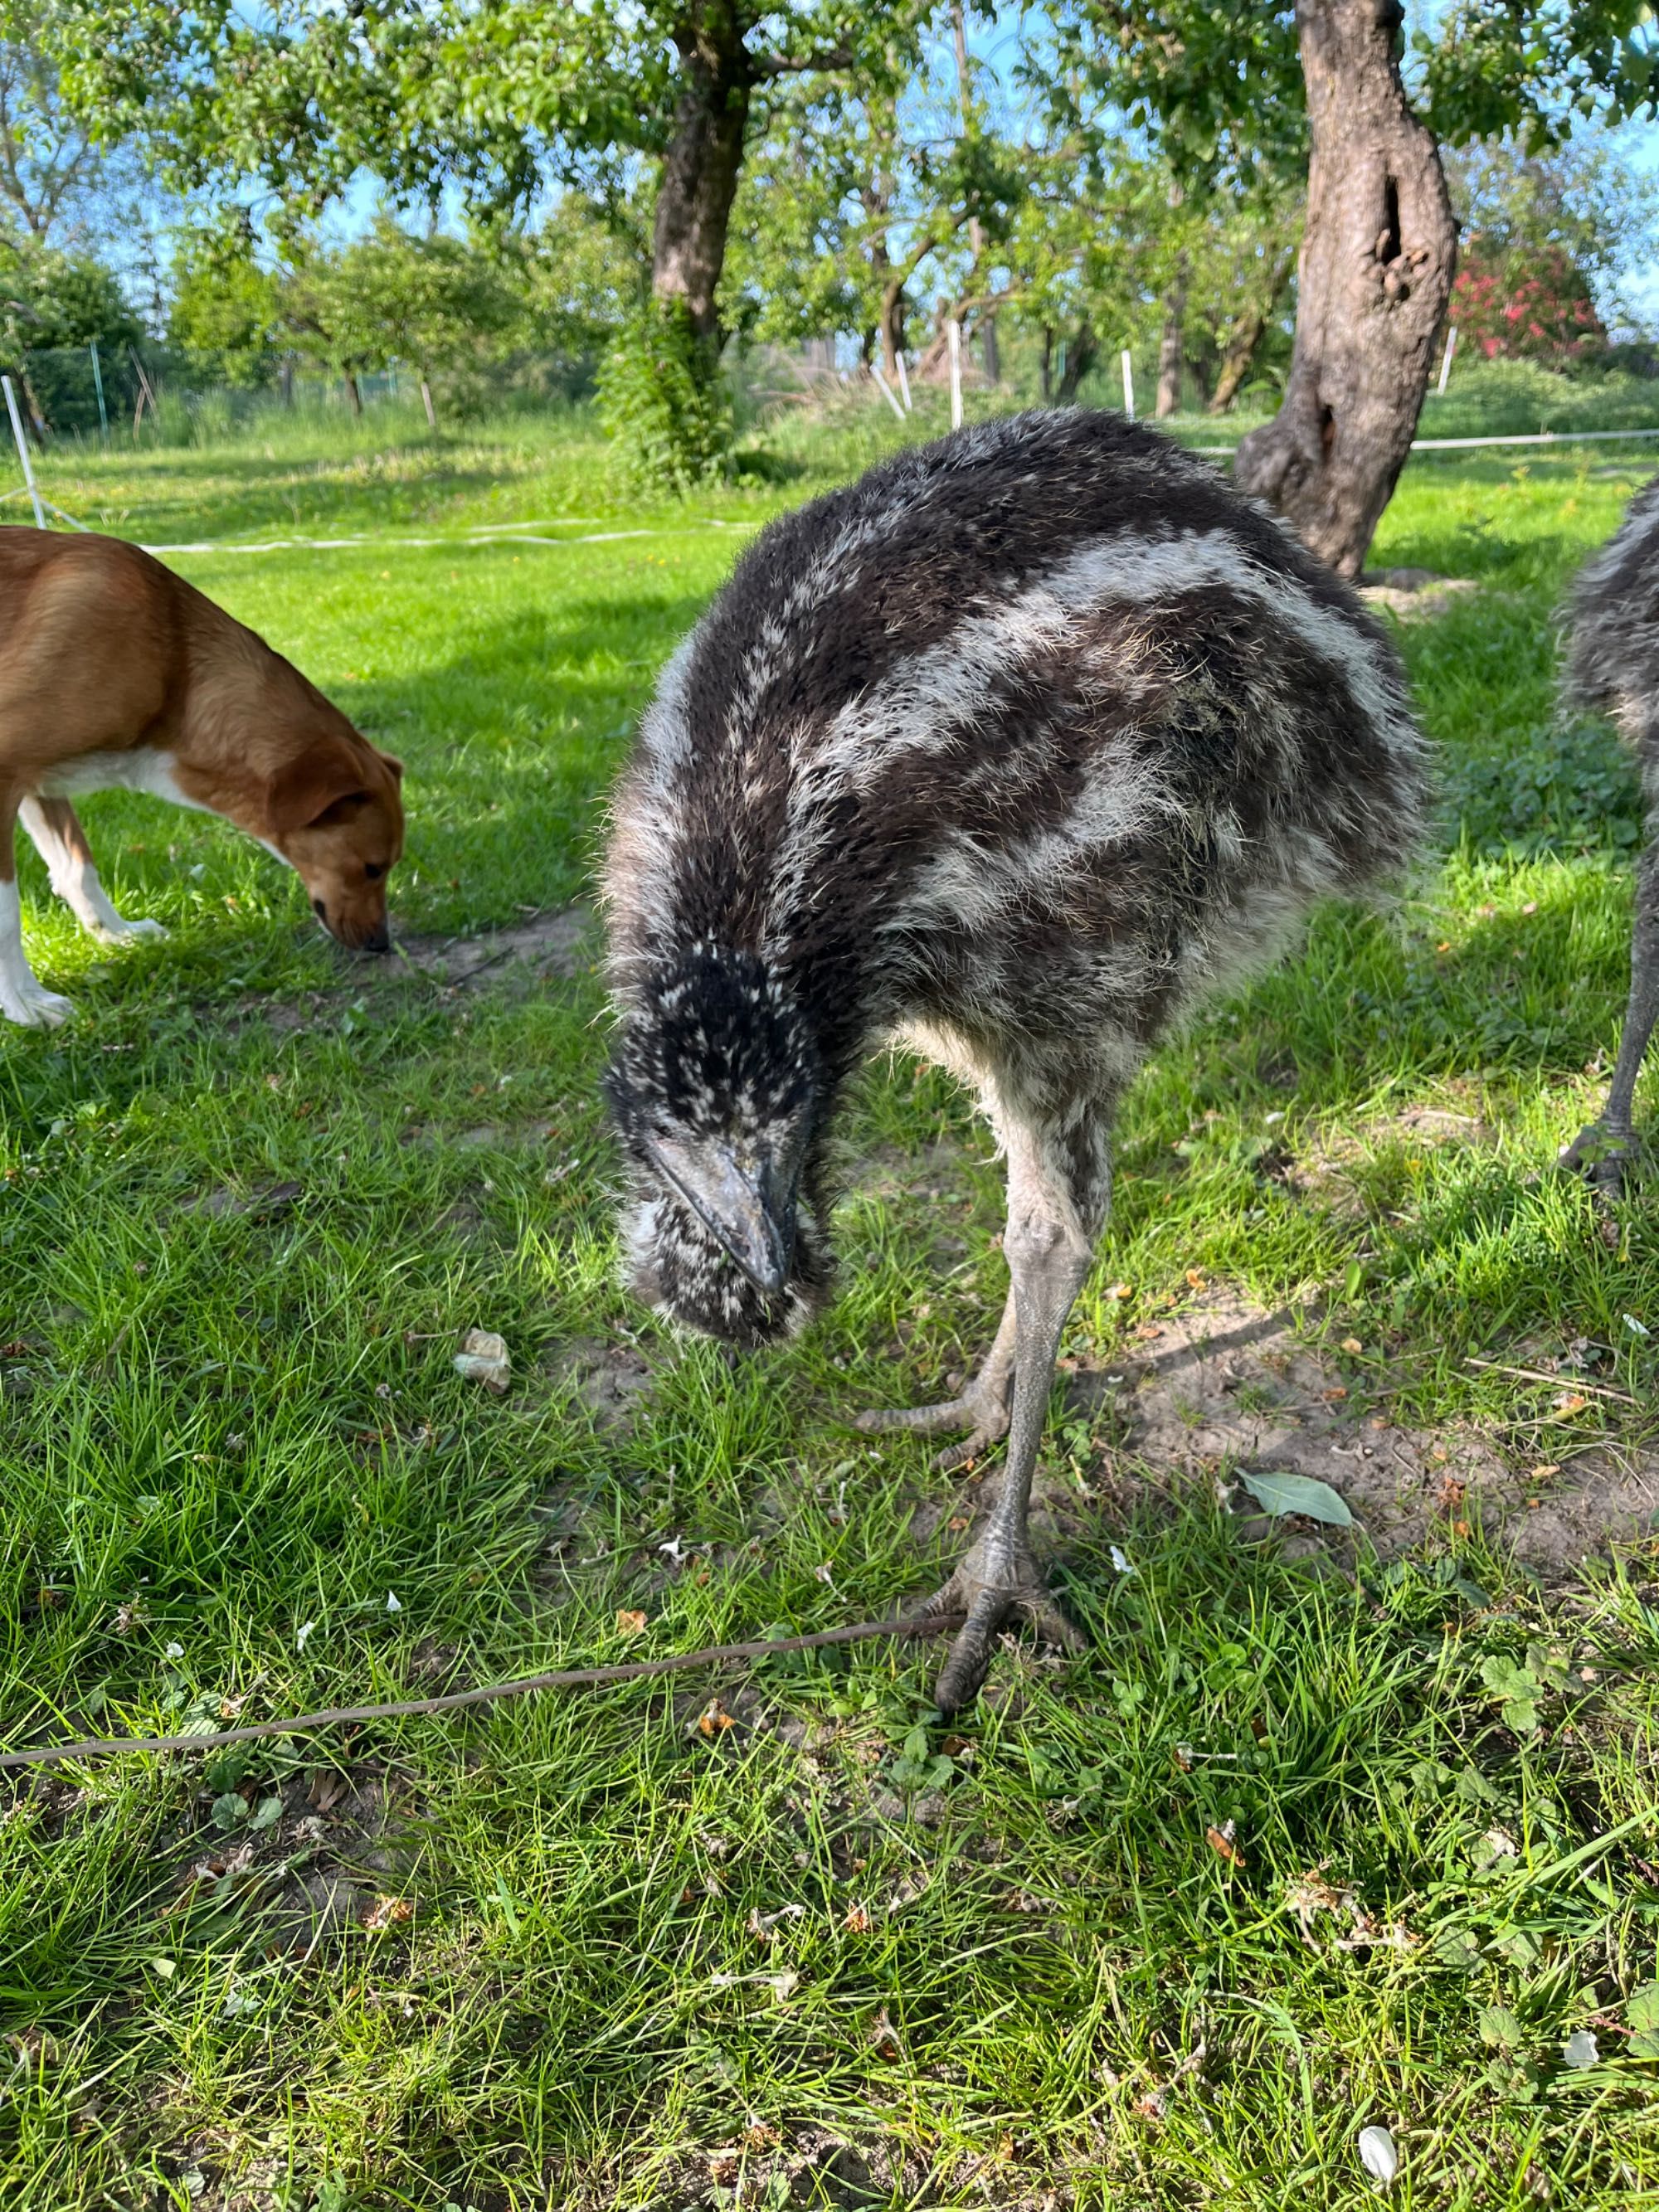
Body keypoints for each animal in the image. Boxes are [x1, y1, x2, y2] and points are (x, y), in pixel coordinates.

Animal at [0, 531, 402, 1022]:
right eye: (371, 868)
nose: (382, 945)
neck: (173, 667)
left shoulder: (41, 783)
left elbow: (78, 869)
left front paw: (118, 935)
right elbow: (7, 914)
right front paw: (25, 1002)